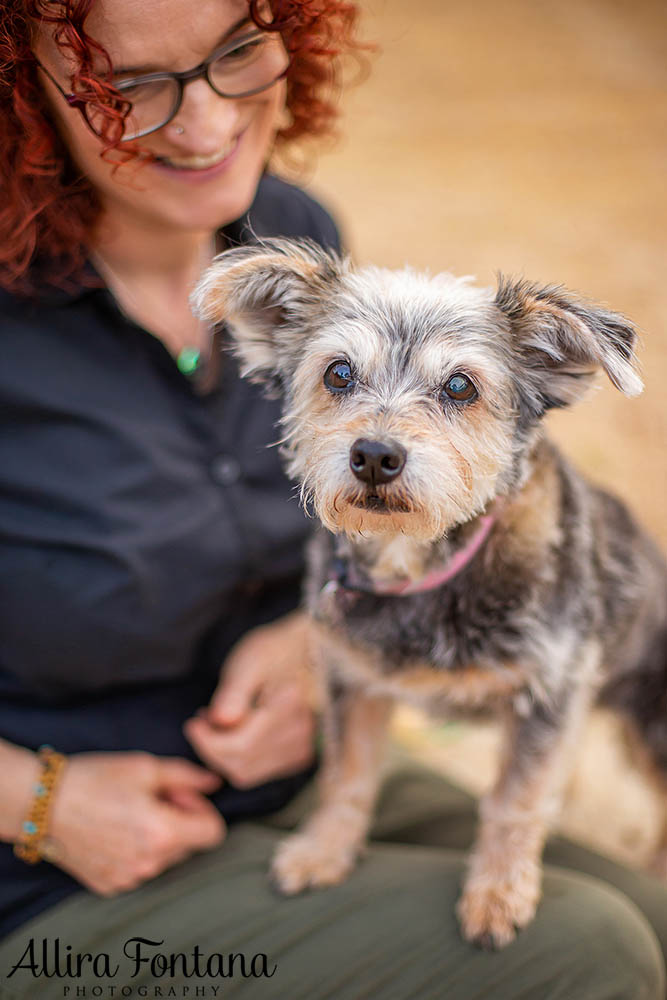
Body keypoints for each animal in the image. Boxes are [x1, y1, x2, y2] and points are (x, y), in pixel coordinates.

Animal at [193, 238, 667, 948]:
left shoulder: (548, 695)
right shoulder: (353, 681)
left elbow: (515, 800)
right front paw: (323, 851)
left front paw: (497, 894)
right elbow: (347, 775)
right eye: (338, 374)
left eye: (460, 385)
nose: (374, 455)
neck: (418, 569)